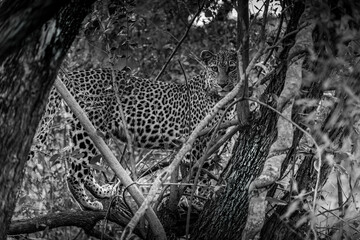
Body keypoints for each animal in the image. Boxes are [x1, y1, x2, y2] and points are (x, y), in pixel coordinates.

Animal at [29, 49, 238, 211]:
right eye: (214, 68)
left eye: (232, 68)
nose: (223, 83)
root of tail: (73, 74)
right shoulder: (195, 142)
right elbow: (195, 174)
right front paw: (191, 200)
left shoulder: (212, 142)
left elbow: (205, 173)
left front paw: (199, 199)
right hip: (87, 129)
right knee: (74, 171)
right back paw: (88, 203)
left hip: (94, 133)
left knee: (85, 168)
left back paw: (103, 193)